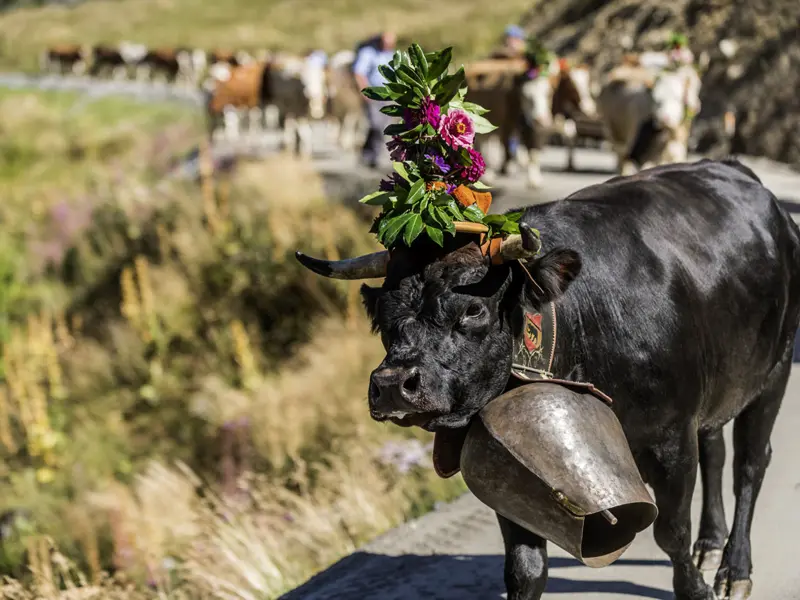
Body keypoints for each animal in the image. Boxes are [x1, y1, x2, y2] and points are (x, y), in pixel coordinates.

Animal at [294, 159, 800, 600]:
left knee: (749, 465)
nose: (393, 384)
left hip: (773, 373)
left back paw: (734, 569)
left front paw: (695, 588)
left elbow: (671, 531)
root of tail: (737, 170)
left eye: (473, 309)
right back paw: (711, 546)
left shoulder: (671, 439)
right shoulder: (511, 463)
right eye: (382, 315)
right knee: (716, 449)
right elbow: (525, 567)